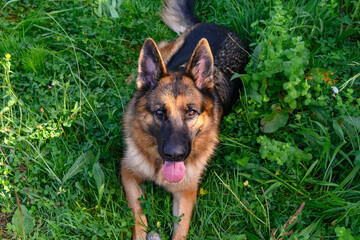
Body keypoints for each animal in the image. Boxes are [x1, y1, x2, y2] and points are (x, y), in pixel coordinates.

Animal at [122, 0, 249, 239]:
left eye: (191, 112)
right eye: (159, 112)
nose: (175, 155)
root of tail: (220, 27)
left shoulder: (186, 193)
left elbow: (181, 230)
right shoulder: (129, 173)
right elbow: (139, 216)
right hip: (170, 48)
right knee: (160, 45)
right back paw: (131, 78)